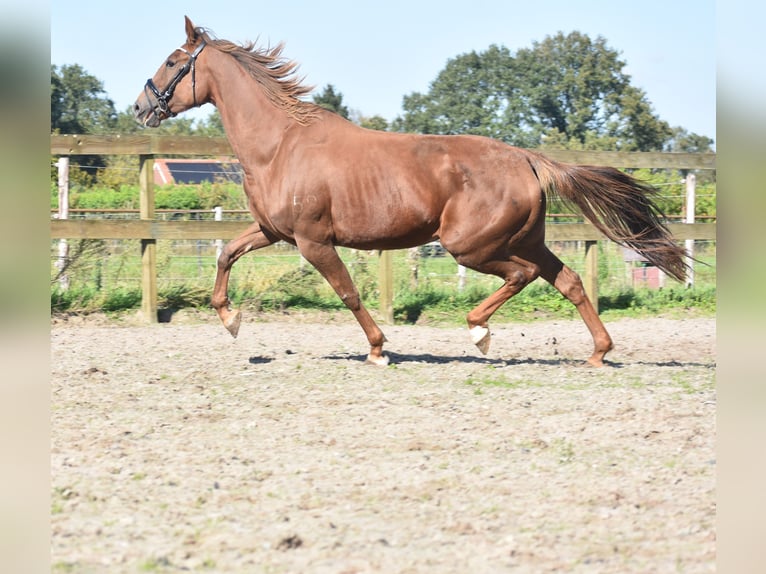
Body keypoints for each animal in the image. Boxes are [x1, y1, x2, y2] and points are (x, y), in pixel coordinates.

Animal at [134, 19, 688, 368]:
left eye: (172, 62)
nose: (141, 107)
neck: (280, 144)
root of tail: (528, 159)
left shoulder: (314, 241)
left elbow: (348, 293)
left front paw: (379, 349)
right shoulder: (274, 232)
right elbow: (227, 253)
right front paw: (231, 321)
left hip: (471, 245)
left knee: (523, 276)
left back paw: (479, 331)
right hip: (525, 239)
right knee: (568, 280)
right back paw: (598, 352)